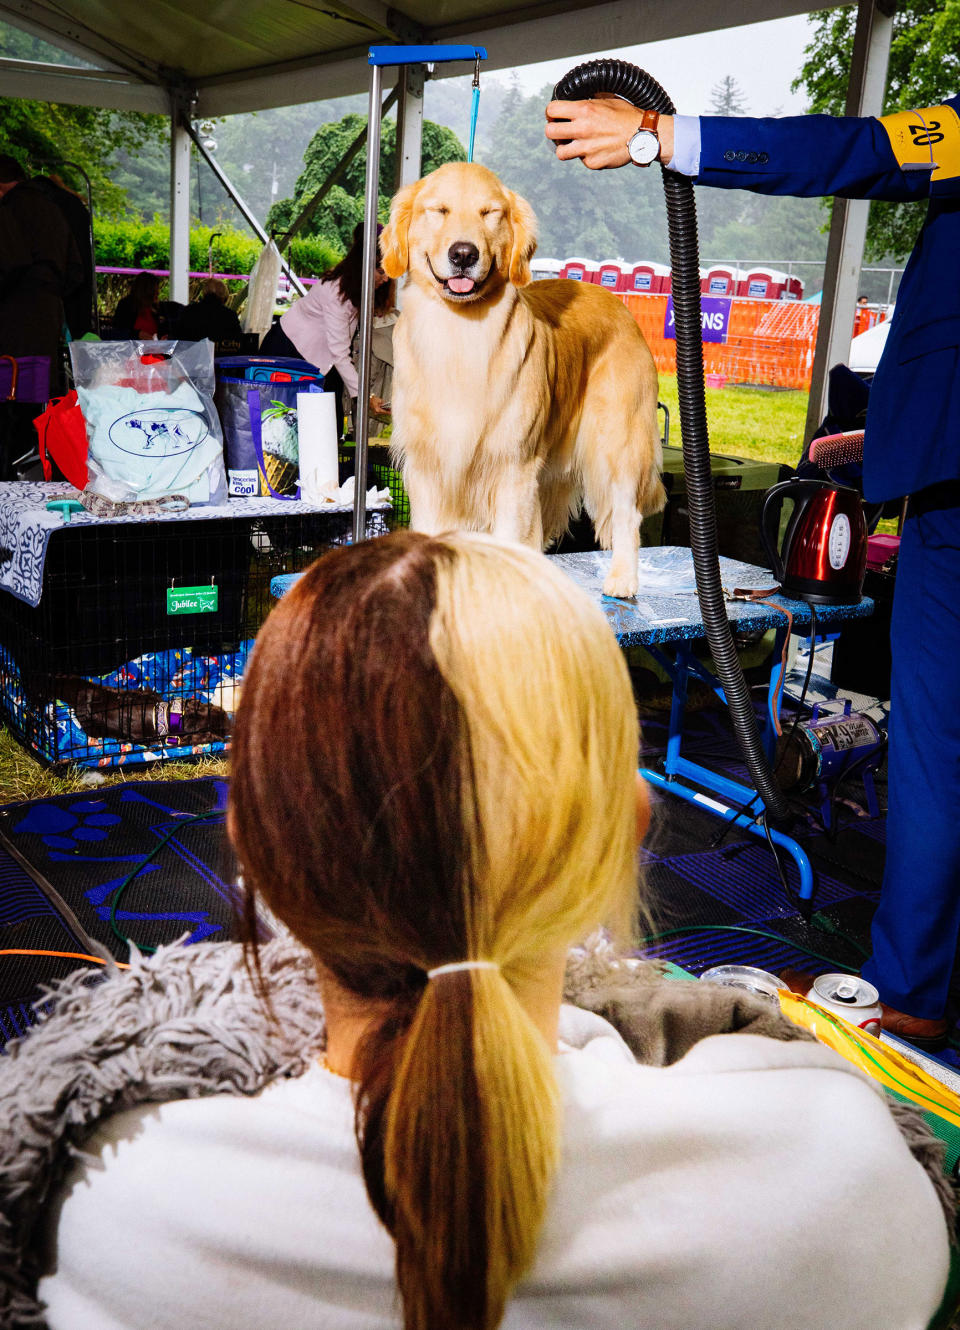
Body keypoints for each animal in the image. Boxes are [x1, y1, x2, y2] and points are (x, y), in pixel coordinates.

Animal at [377, 158, 662, 595]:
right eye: (439, 210)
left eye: (489, 212)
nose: (464, 253)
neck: (460, 334)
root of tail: (620, 305)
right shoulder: (428, 469)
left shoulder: (513, 468)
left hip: (619, 441)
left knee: (627, 514)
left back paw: (622, 578)